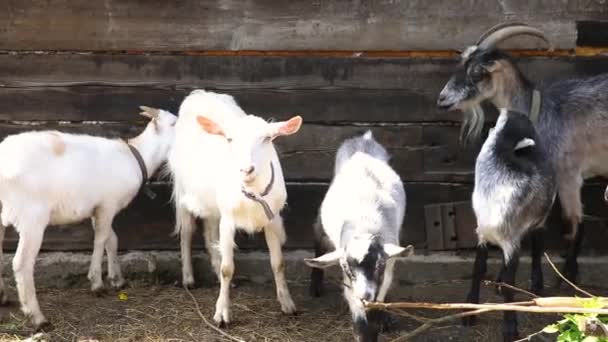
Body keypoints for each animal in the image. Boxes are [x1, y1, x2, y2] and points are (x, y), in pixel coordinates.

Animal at [0, 106, 178, 328]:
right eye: (174, 123)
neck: (137, 157)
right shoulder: (108, 204)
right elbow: (100, 240)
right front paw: (97, 283)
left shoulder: (99, 208)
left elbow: (112, 239)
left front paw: (117, 279)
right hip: (31, 217)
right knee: (22, 263)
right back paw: (37, 317)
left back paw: (4, 297)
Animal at [169, 89, 302, 328]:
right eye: (230, 139)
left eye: (267, 138)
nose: (246, 169)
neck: (253, 195)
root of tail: (200, 93)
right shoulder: (229, 219)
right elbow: (227, 268)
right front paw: (222, 314)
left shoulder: (272, 218)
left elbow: (278, 263)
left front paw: (287, 303)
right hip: (183, 189)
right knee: (186, 232)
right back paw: (188, 278)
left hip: (213, 205)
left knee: (210, 233)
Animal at [304, 130, 414, 342]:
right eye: (346, 267)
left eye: (379, 264)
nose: (365, 295)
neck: (364, 226)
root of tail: (364, 139)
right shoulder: (350, 285)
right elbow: (360, 319)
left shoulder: (387, 269)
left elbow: (378, 305)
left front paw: (382, 320)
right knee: (318, 237)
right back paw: (315, 287)